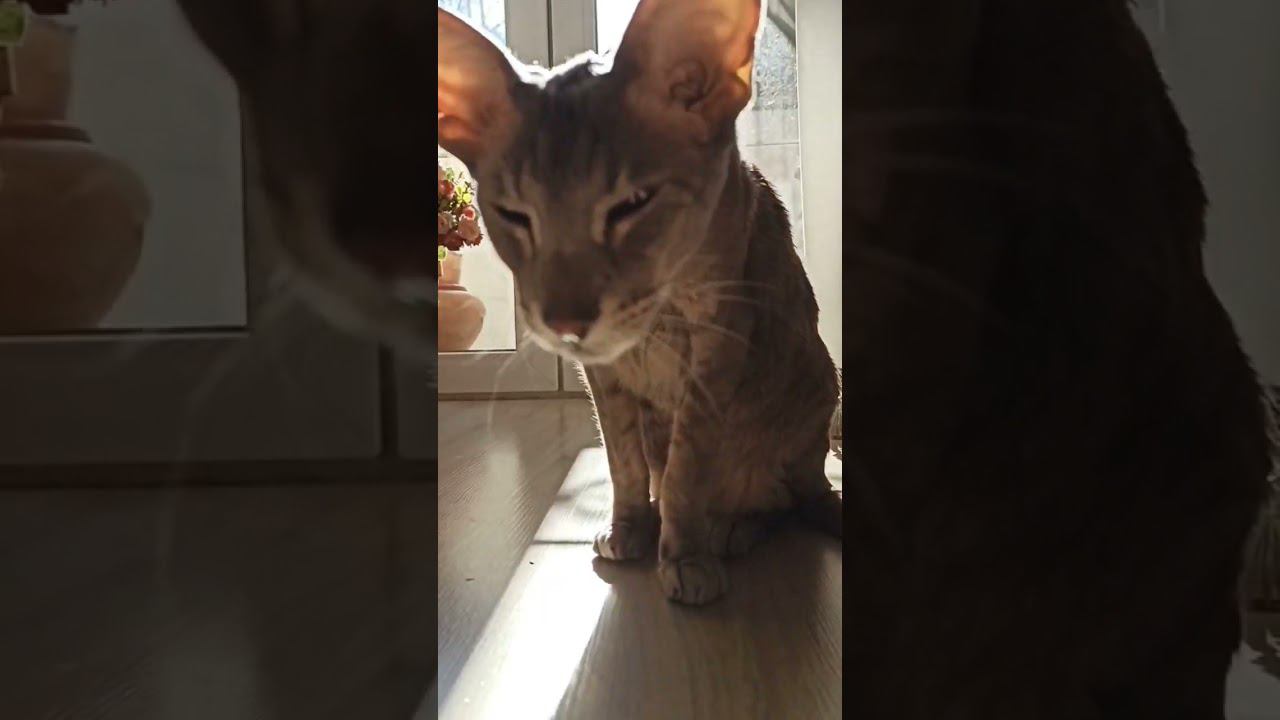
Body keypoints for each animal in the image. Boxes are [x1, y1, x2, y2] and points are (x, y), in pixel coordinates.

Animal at [438, 0, 841, 606]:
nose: (564, 318)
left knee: (783, 499)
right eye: (513, 215)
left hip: (811, 387)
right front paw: (631, 523)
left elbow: (686, 466)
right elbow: (623, 458)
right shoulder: (603, 374)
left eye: (633, 204)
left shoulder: (719, 338)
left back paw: (731, 525)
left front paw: (685, 553)